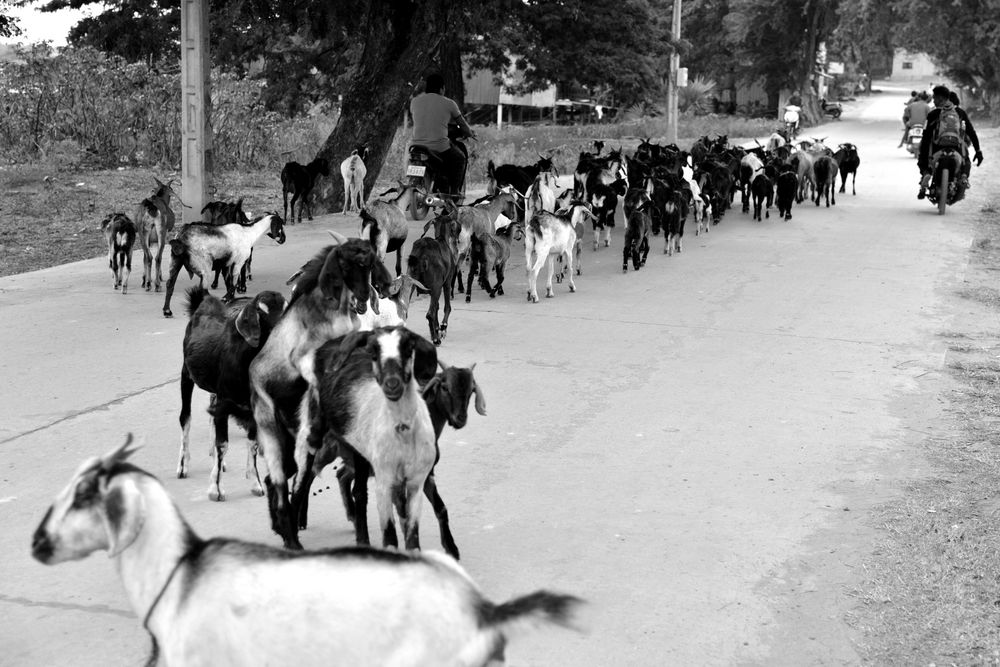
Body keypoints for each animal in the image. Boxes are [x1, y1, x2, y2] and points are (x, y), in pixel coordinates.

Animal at [178, 286, 288, 500]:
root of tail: (203, 300)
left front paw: (256, 484)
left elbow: (252, 444)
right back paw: (183, 466)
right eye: (261, 312)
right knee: (185, 418)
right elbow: (223, 444)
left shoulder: (253, 407)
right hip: (186, 375)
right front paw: (216, 489)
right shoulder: (224, 402)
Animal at [406, 210, 460, 348]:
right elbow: (446, 307)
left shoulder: (432, 291)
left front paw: (434, 331)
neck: (442, 239)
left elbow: (436, 308)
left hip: (410, 286)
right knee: (429, 314)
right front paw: (442, 329)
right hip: (437, 288)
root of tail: (422, 253)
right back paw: (436, 340)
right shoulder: (445, 284)